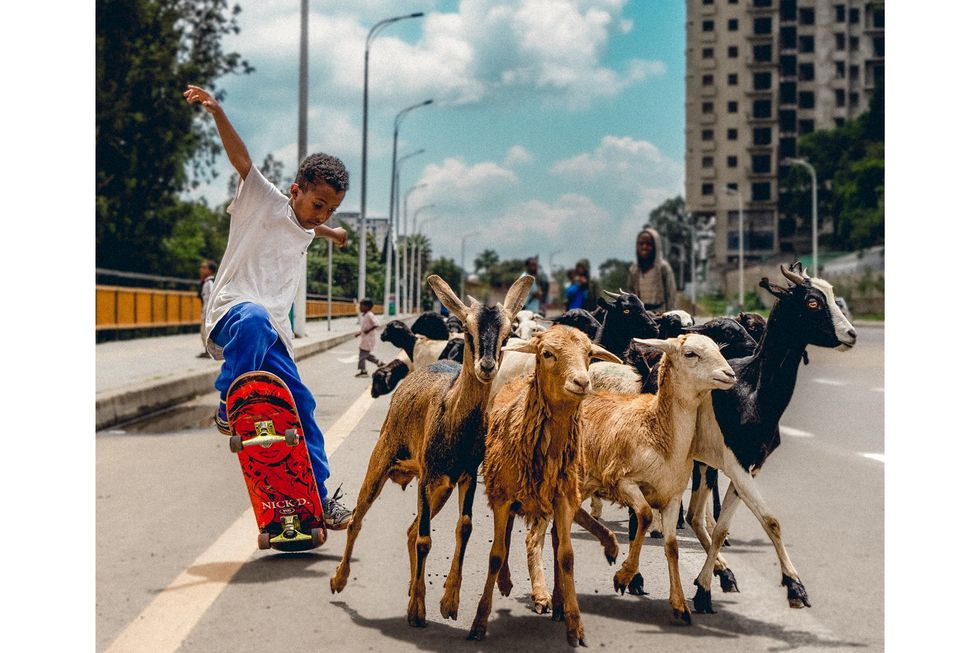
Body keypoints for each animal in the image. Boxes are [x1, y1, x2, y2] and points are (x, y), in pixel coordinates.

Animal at [330, 272, 532, 628]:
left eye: (508, 333)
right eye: (466, 329)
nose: (487, 366)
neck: (453, 417)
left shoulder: (465, 475)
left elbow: (463, 528)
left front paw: (448, 601)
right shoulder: (426, 477)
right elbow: (426, 538)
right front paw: (418, 611)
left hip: (441, 488)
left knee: (411, 530)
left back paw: (413, 587)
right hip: (384, 456)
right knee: (359, 518)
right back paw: (340, 581)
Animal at [468, 328, 620, 644]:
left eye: (589, 354)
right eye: (547, 353)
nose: (582, 382)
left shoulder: (563, 498)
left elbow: (566, 556)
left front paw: (575, 625)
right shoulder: (502, 498)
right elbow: (495, 555)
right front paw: (479, 622)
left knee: (552, 540)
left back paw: (559, 602)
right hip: (503, 490)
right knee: (507, 534)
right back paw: (506, 582)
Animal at [528, 334, 736, 624]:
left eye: (718, 348)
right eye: (690, 353)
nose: (730, 374)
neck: (659, 431)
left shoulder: (672, 496)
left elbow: (672, 547)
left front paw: (680, 604)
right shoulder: (622, 481)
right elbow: (646, 516)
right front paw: (624, 576)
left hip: (583, 481)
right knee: (534, 537)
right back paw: (541, 596)